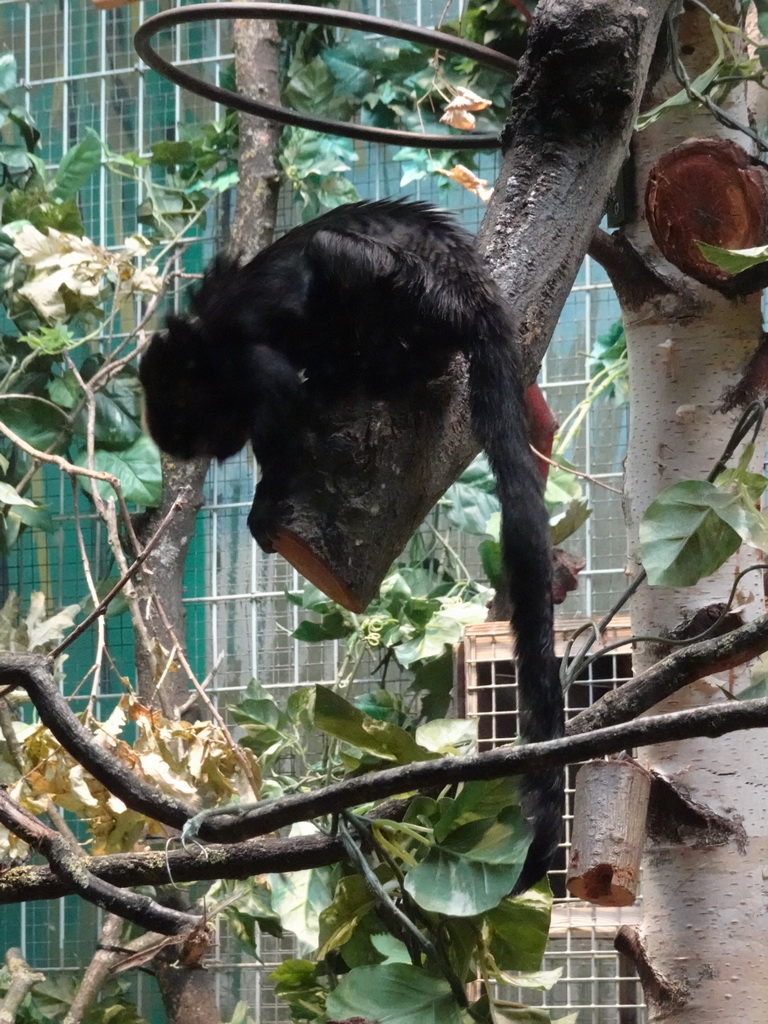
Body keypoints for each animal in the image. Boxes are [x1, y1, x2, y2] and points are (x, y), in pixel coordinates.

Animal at [140, 197, 565, 888]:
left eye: (201, 425)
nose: (218, 444)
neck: (207, 346)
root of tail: (472, 288)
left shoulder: (250, 365)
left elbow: (281, 402)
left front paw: (267, 499)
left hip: (416, 295)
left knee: (334, 256)